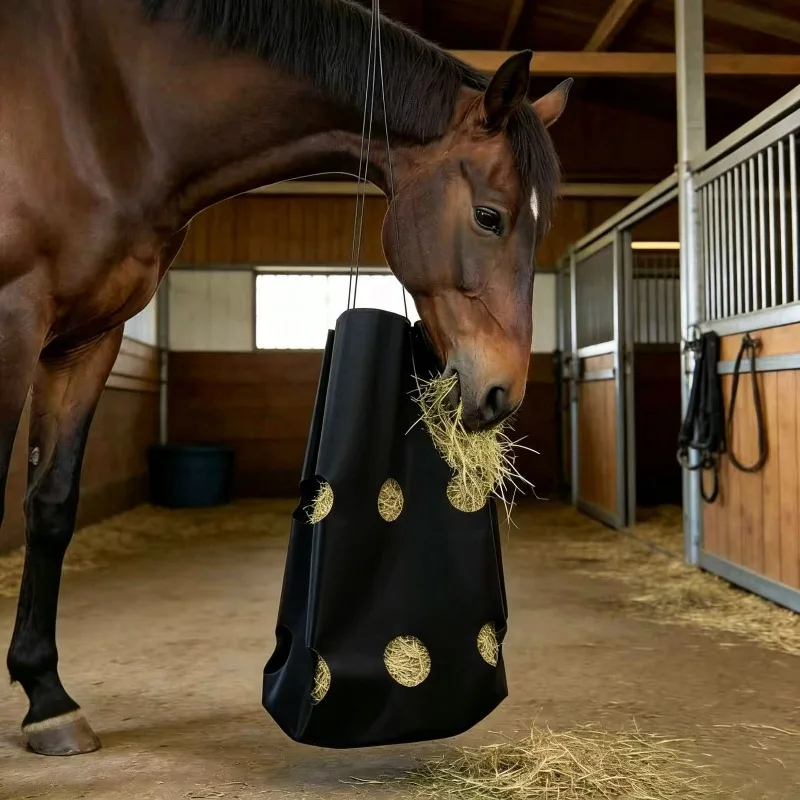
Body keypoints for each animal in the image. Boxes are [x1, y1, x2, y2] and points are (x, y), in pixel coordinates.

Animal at [0, 0, 570, 757]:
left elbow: (51, 505)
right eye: (489, 216)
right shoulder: (12, 317)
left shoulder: (87, 340)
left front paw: (48, 700)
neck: (105, 110)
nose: (502, 394)